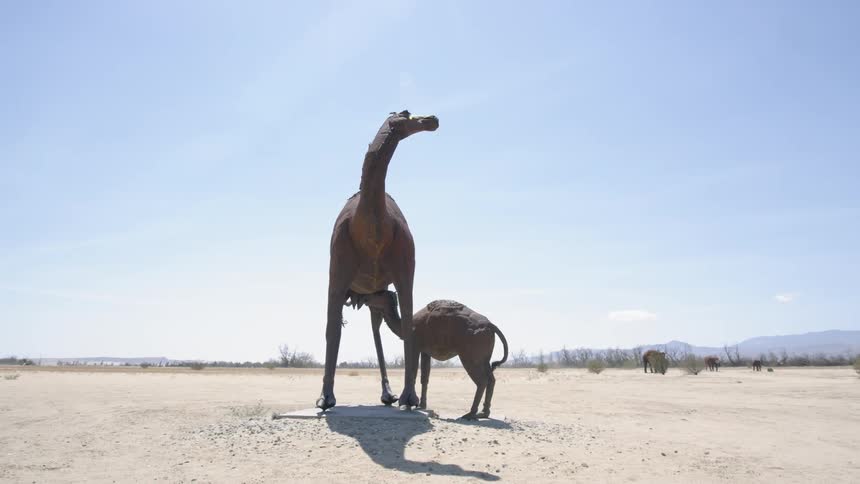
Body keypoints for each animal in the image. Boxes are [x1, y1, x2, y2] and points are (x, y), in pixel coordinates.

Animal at [316, 110, 439, 411]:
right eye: (407, 115)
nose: (432, 119)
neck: (371, 230)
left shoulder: (405, 274)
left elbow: (408, 324)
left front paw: (409, 397)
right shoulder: (336, 275)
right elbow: (331, 328)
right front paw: (325, 398)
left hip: (375, 295)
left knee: (377, 330)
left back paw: (389, 394)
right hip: (366, 293)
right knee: (356, 327)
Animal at [351, 292, 509, 419]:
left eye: (379, 294)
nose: (363, 298)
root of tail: (490, 325)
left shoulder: (414, 345)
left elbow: (413, 372)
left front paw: (409, 405)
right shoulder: (425, 351)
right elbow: (424, 377)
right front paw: (421, 405)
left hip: (469, 355)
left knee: (481, 380)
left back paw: (470, 414)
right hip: (483, 358)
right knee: (491, 379)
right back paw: (484, 413)